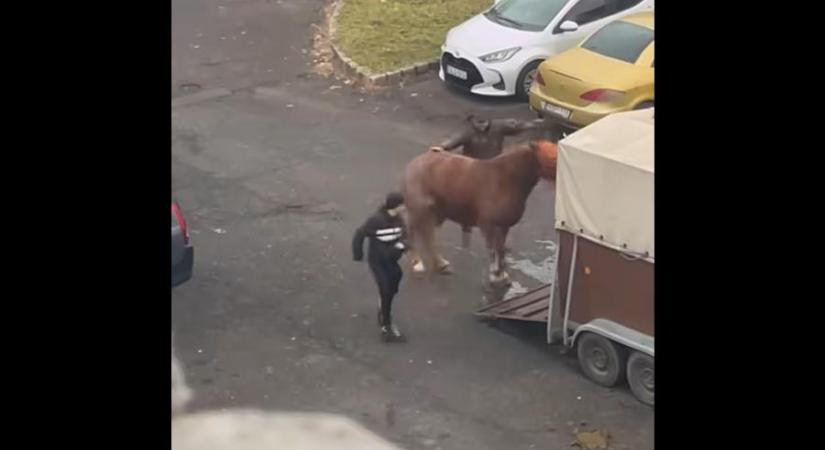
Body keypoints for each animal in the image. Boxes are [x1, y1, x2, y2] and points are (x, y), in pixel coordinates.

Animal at [400, 139, 556, 284]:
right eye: (550, 157)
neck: (503, 180)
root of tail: (415, 162)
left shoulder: (503, 227)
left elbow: (501, 250)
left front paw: (502, 275)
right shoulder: (488, 225)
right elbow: (492, 250)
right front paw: (495, 275)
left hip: (437, 213)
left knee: (429, 236)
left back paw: (440, 264)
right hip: (418, 210)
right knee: (414, 232)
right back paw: (418, 263)